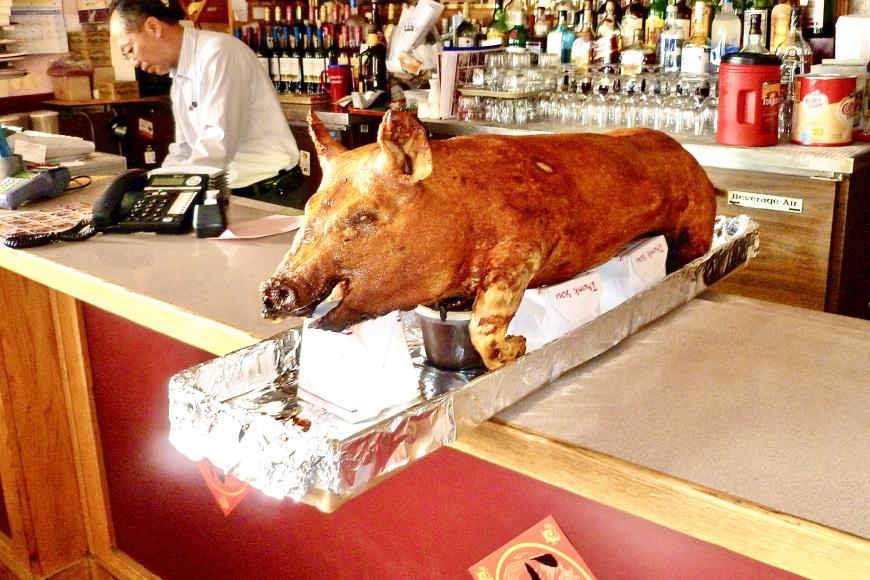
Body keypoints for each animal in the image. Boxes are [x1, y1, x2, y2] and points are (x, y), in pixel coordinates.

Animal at [261, 110, 716, 370]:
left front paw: (520, 346)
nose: (273, 290)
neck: (461, 213)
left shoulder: (523, 250)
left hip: (697, 222)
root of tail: (689, 156)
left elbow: (485, 323)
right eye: (308, 208)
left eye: (363, 217)